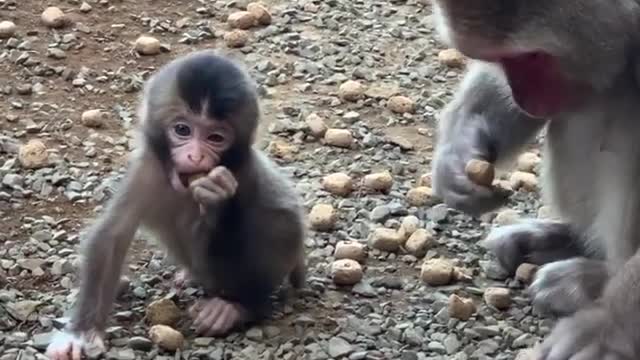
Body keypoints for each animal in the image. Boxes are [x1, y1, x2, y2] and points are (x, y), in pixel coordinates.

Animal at [46, 50, 306, 360]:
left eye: (215, 138)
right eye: (182, 130)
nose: (195, 156)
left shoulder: (246, 173)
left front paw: (218, 199)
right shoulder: (148, 169)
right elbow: (112, 237)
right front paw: (80, 334)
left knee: (280, 225)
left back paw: (238, 307)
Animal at [428, 0, 640, 360]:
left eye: (533, 57)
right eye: (502, 61)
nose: (522, 98)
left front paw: (605, 327)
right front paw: (456, 159)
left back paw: (594, 279)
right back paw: (560, 241)